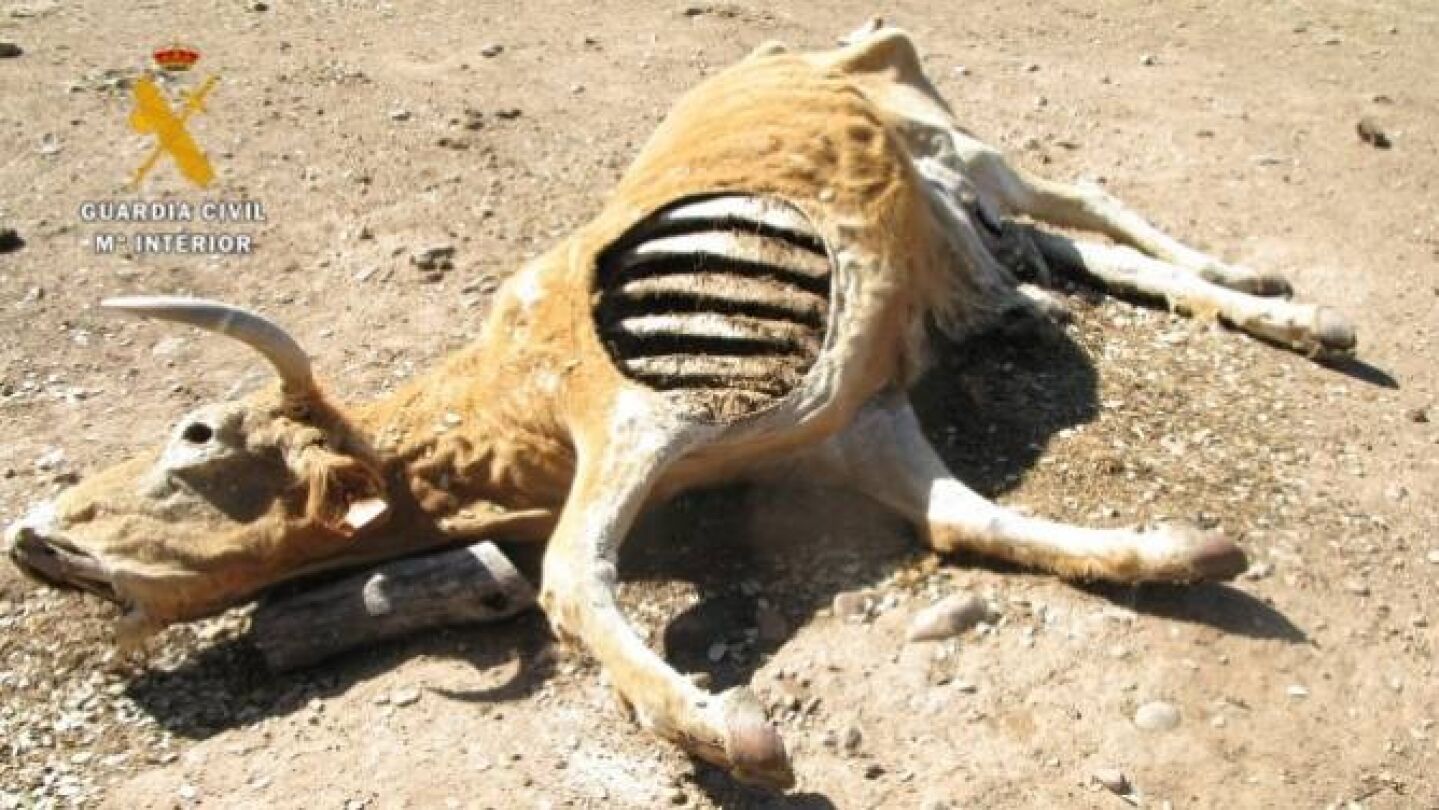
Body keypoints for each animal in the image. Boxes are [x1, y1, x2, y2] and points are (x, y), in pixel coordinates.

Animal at [4, 21, 1353, 790]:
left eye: (194, 437)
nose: (35, 533)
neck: (502, 415)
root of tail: (827, 41)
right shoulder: (859, 422)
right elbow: (967, 523)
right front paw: (1177, 549)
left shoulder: (646, 416)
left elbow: (565, 577)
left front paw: (722, 734)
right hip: (948, 194)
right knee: (1064, 242)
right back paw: (1255, 306)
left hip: (956, 142)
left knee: (1078, 196)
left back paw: (1278, 301)